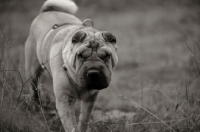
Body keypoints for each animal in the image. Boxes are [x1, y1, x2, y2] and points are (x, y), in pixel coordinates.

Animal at [25, 0, 118, 131]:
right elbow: (71, 126)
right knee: (34, 89)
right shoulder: (65, 101)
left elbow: (84, 120)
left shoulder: (90, 100)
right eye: (80, 55)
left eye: (106, 56)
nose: (94, 72)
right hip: (32, 70)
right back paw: (36, 107)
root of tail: (45, 11)